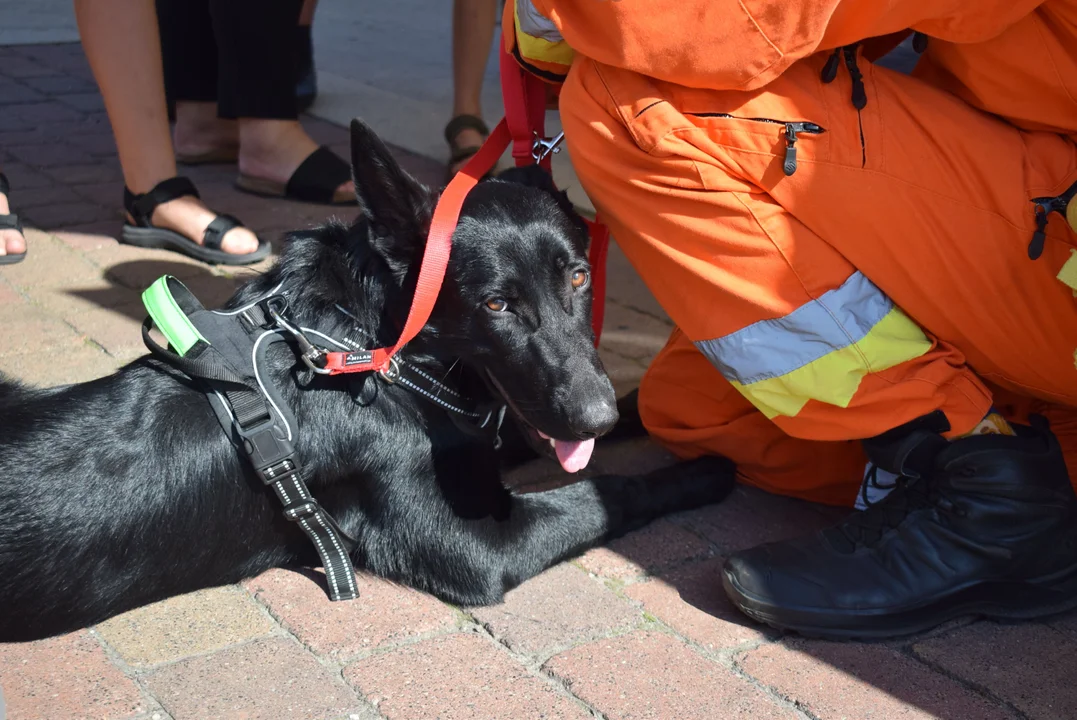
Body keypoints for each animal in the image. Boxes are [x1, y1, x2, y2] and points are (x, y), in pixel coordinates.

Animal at [0, 120, 732, 641]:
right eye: (496, 304)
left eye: (578, 277)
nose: (593, 417)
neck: (372, 349)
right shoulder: (474, 546)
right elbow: (604, 491)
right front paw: (699, 471)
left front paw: (656, 420)